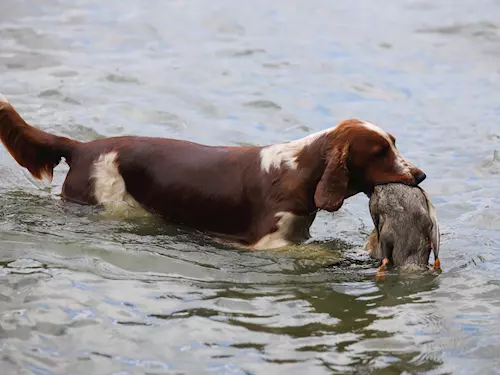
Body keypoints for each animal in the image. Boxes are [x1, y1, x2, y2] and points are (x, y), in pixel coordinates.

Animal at [0, 94, 426, 250]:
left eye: (394, 142)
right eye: (380, 152)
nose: (420, 175)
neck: (299, 170)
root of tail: (82, 147)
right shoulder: (267, 244)